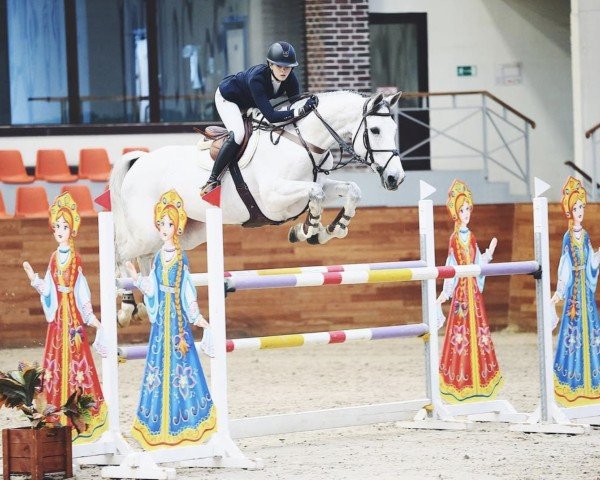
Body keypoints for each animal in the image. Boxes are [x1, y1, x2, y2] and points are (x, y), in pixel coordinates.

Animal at [110, 90, 406, 324]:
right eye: (375, 131)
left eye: (394, 131)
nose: (396, 178)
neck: (304, 142)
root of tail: (140, 160)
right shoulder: (274, 199)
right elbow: (317, 194)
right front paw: (308, 229)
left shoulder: (319, 184)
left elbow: (349, 190)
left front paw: (330, 229)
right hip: (144, 232)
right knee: (120, 253)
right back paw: (126, 308)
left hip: (186, 233)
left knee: (145, 258)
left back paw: (149, 305)